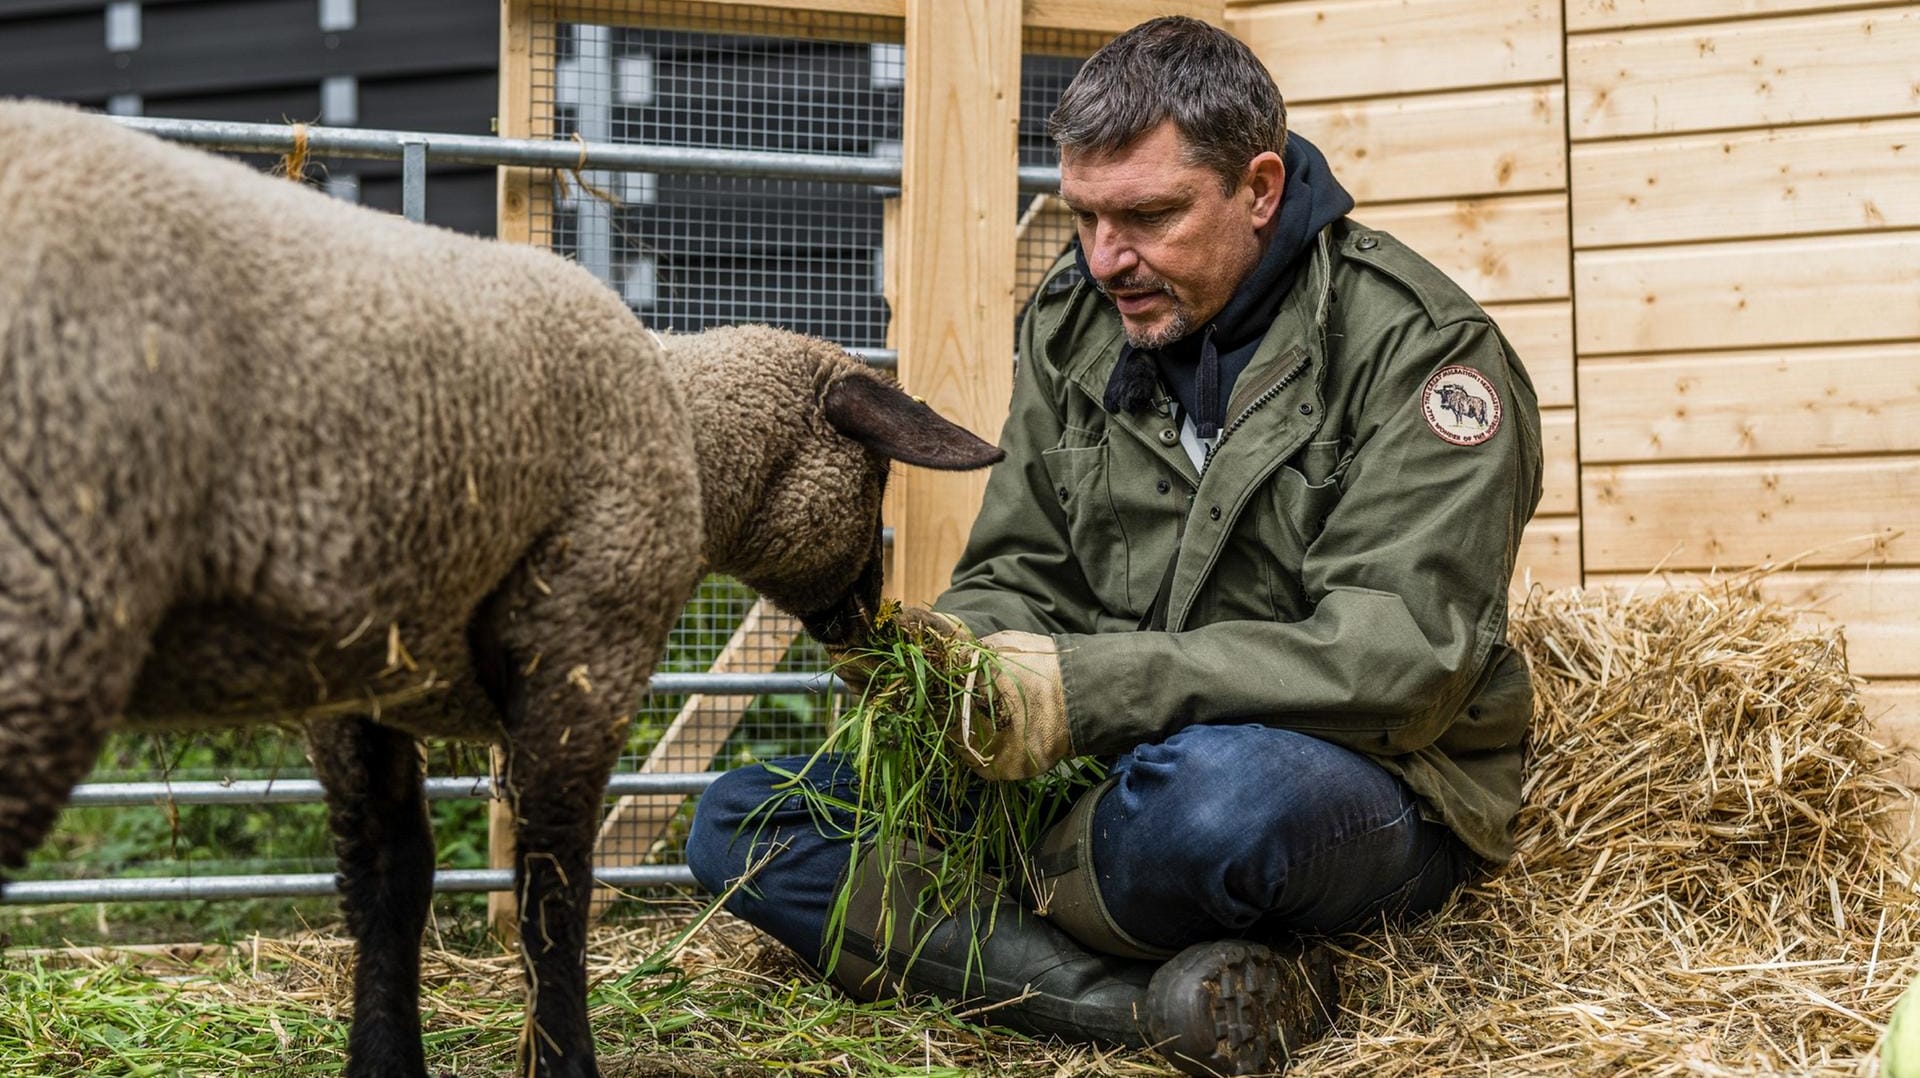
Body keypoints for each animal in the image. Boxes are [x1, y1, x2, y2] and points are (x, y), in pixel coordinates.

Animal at [0, 100, 998, 1076]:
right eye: (876, 478)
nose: (872, 621)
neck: (687, 434)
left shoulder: (363, 684)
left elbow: (389, 883)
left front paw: (385, 1060)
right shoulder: (584, 651)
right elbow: (551, 895)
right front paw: (562, 1060)